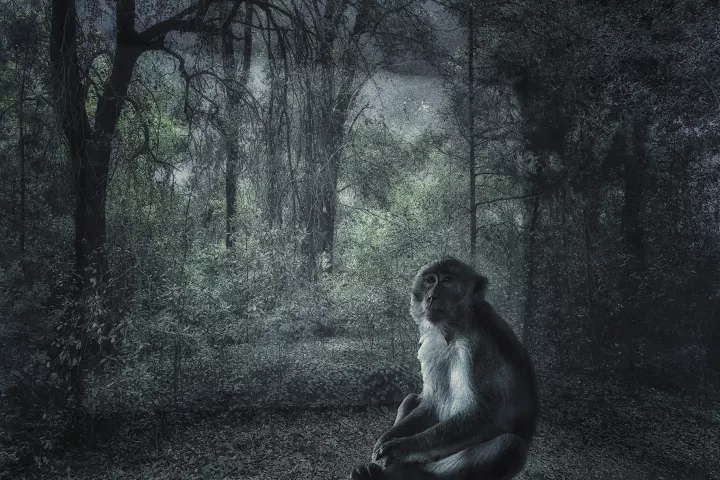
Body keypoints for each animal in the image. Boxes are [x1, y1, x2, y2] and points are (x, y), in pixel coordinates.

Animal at [350, 257, 539, 480]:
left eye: (448, 280)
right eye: (430, 280)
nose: (432, 296)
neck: (454, 331)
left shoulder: (479, 345)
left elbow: (484, 413)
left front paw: (399, 447)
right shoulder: (432, 344)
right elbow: (431, 402)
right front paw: (387, 438)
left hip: (440, 466)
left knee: (510, 446)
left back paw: (399, 473)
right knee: (412, 397)